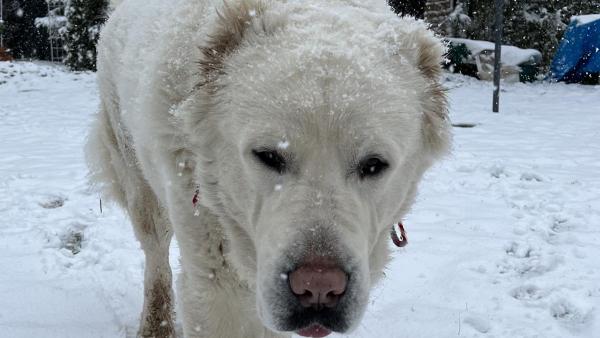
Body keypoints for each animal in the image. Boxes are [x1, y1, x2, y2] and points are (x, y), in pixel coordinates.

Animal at [84, 1, 450, 336]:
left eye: (374, 165)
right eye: (269, 156)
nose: (318, 286)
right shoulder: (216, 281)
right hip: (136, 173)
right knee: (156, 254)